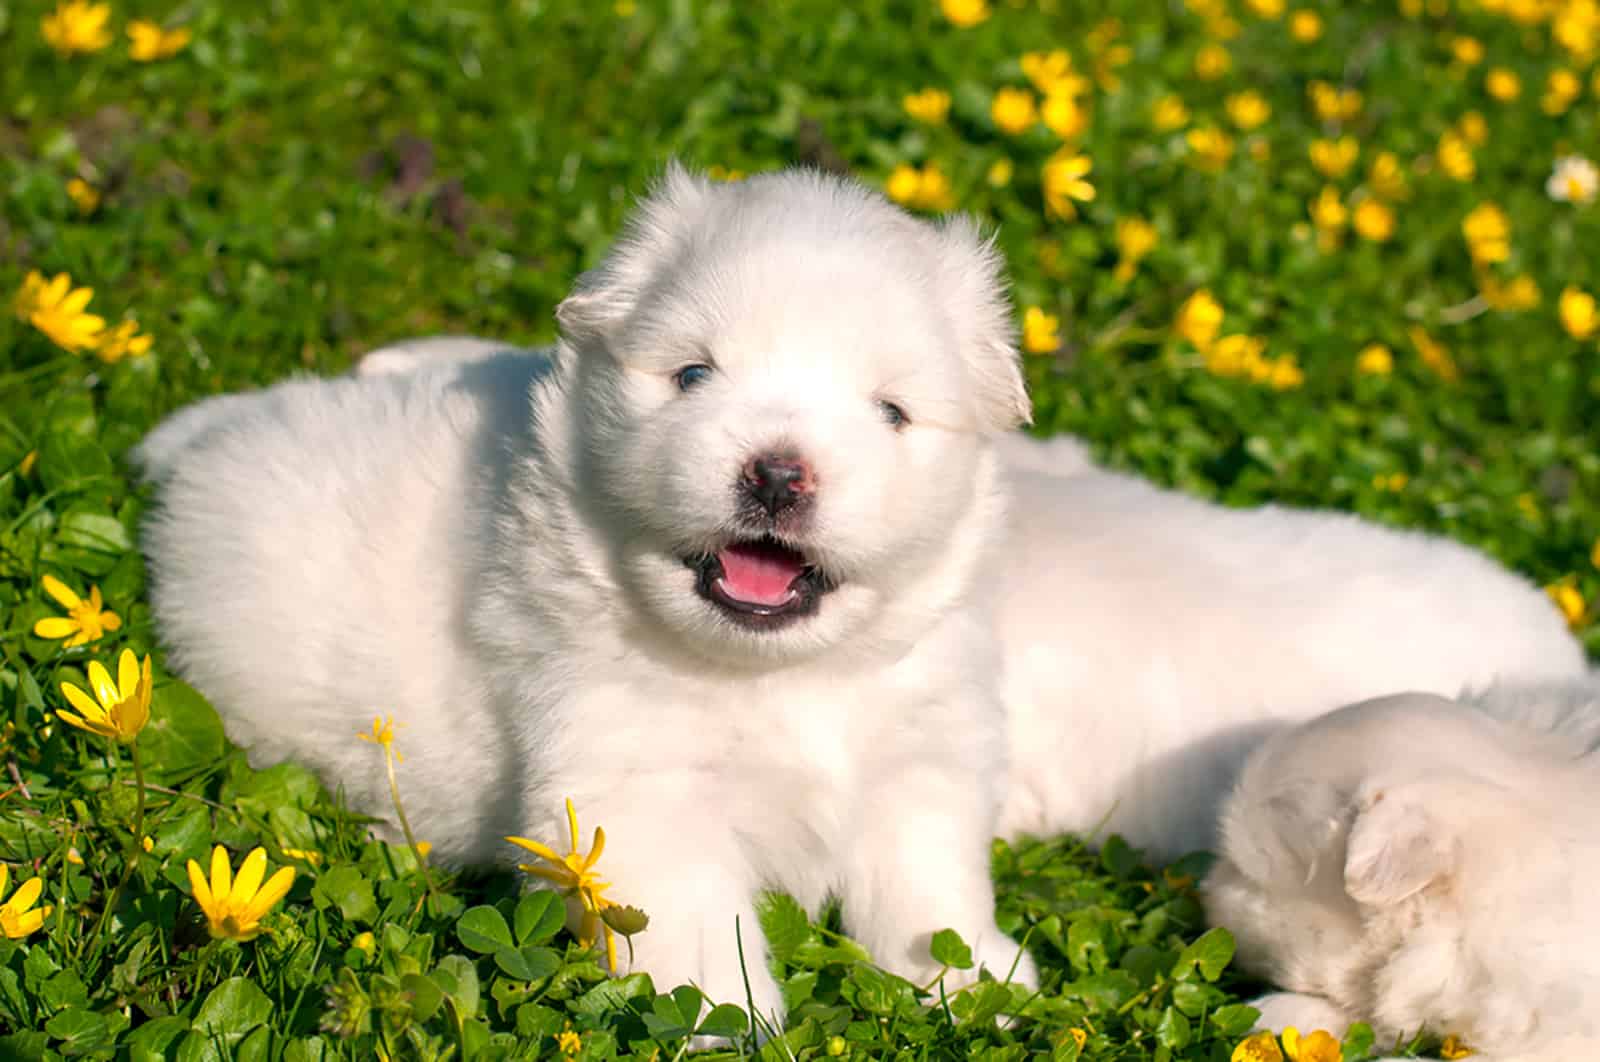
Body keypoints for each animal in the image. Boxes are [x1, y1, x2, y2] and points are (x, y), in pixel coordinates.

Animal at [137, 170, 1036, 1023]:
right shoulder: (634, 791)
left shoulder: (922, 755)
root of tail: (210, 437)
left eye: (892, 412)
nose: (778, 474)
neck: (778, 673)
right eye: (693, 374)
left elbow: (931, 886)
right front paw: (723, 1023)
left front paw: (978, 984)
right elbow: (696, 931)